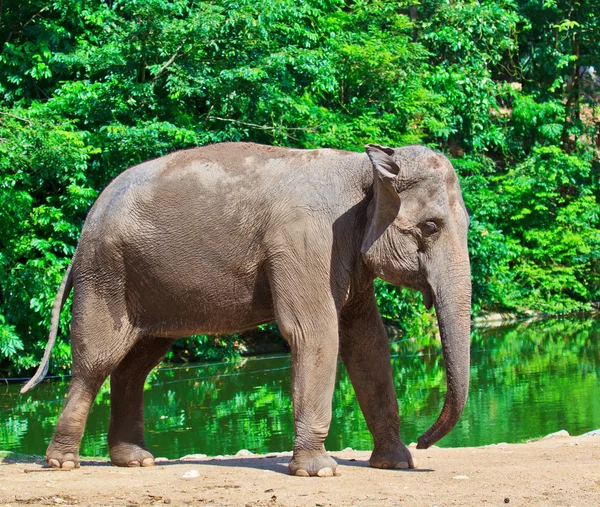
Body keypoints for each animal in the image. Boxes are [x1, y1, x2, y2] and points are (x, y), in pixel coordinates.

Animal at [21, 141, 472, 478]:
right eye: (431, 226)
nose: (422, 440)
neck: (361, 168)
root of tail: (86, 226)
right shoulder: (305, 242)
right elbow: (315, 332)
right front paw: (319, 470)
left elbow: (368, 342)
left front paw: (395, 463)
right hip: (105, 274)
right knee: (96, 361)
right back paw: (63, 463)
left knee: (137, 364)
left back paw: (135, 461)